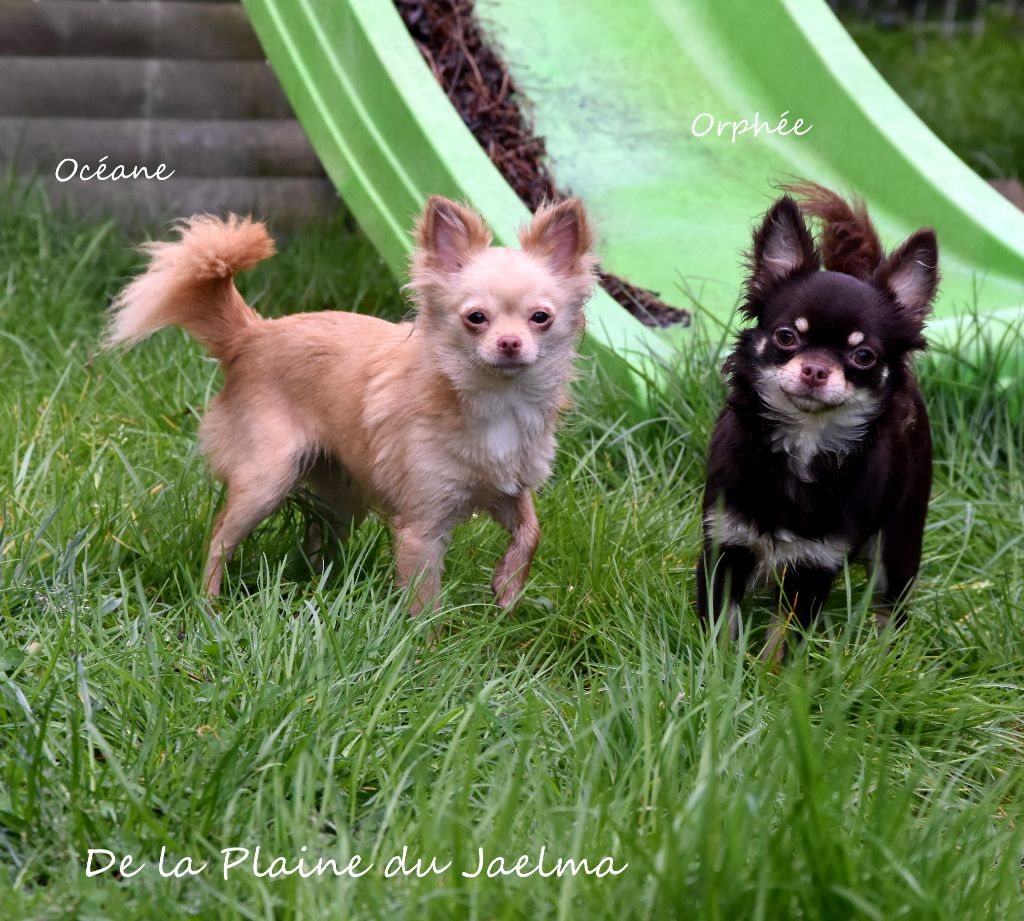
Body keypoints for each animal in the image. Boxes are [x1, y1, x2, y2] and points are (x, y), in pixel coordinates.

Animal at [106, 196, 597, 612]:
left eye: (540, 318)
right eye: (476, 318)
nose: (510, 342)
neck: (495, 398)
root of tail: (251, 334)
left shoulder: (509, 488)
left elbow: (532, 532)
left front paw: (507, 587)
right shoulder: (422, 527)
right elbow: (425, 602)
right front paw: (426, 650)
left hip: (340, 491)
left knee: (318, 533)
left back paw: (320, 585)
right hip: (267, 478)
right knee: (220, 539)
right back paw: (210, 604)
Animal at [696, 182, 937, 660]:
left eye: (863, 356)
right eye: (786, 336)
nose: (815, 369)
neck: (804, 442)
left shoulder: (811, 569)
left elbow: (780, 643)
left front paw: (765, 679)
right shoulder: (723, 546)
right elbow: (721, 631)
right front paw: (716, 673)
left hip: (900, 540)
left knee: (891, 605)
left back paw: (881, 657)